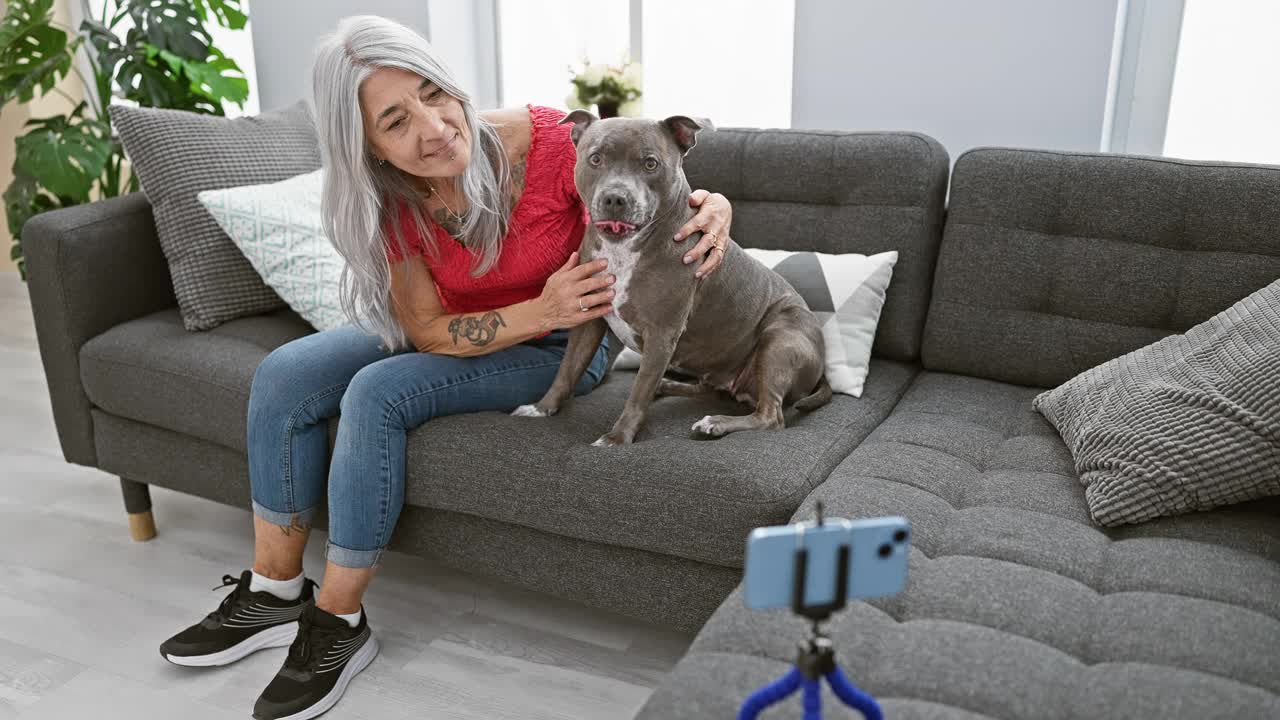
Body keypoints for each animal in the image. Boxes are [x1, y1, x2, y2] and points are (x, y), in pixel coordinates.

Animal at [509, 110, 829, 443]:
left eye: (651, 164)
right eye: (595, 158)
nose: (615, 198)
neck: (623, 248)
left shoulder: (661, 334)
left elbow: (638, 393)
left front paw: (617, 438)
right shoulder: (588, 319)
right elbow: (567, 370)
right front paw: (541, 408)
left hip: (780, 340)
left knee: (771, 416)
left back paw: (715, 422)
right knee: (709, 389)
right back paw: (669, 387)